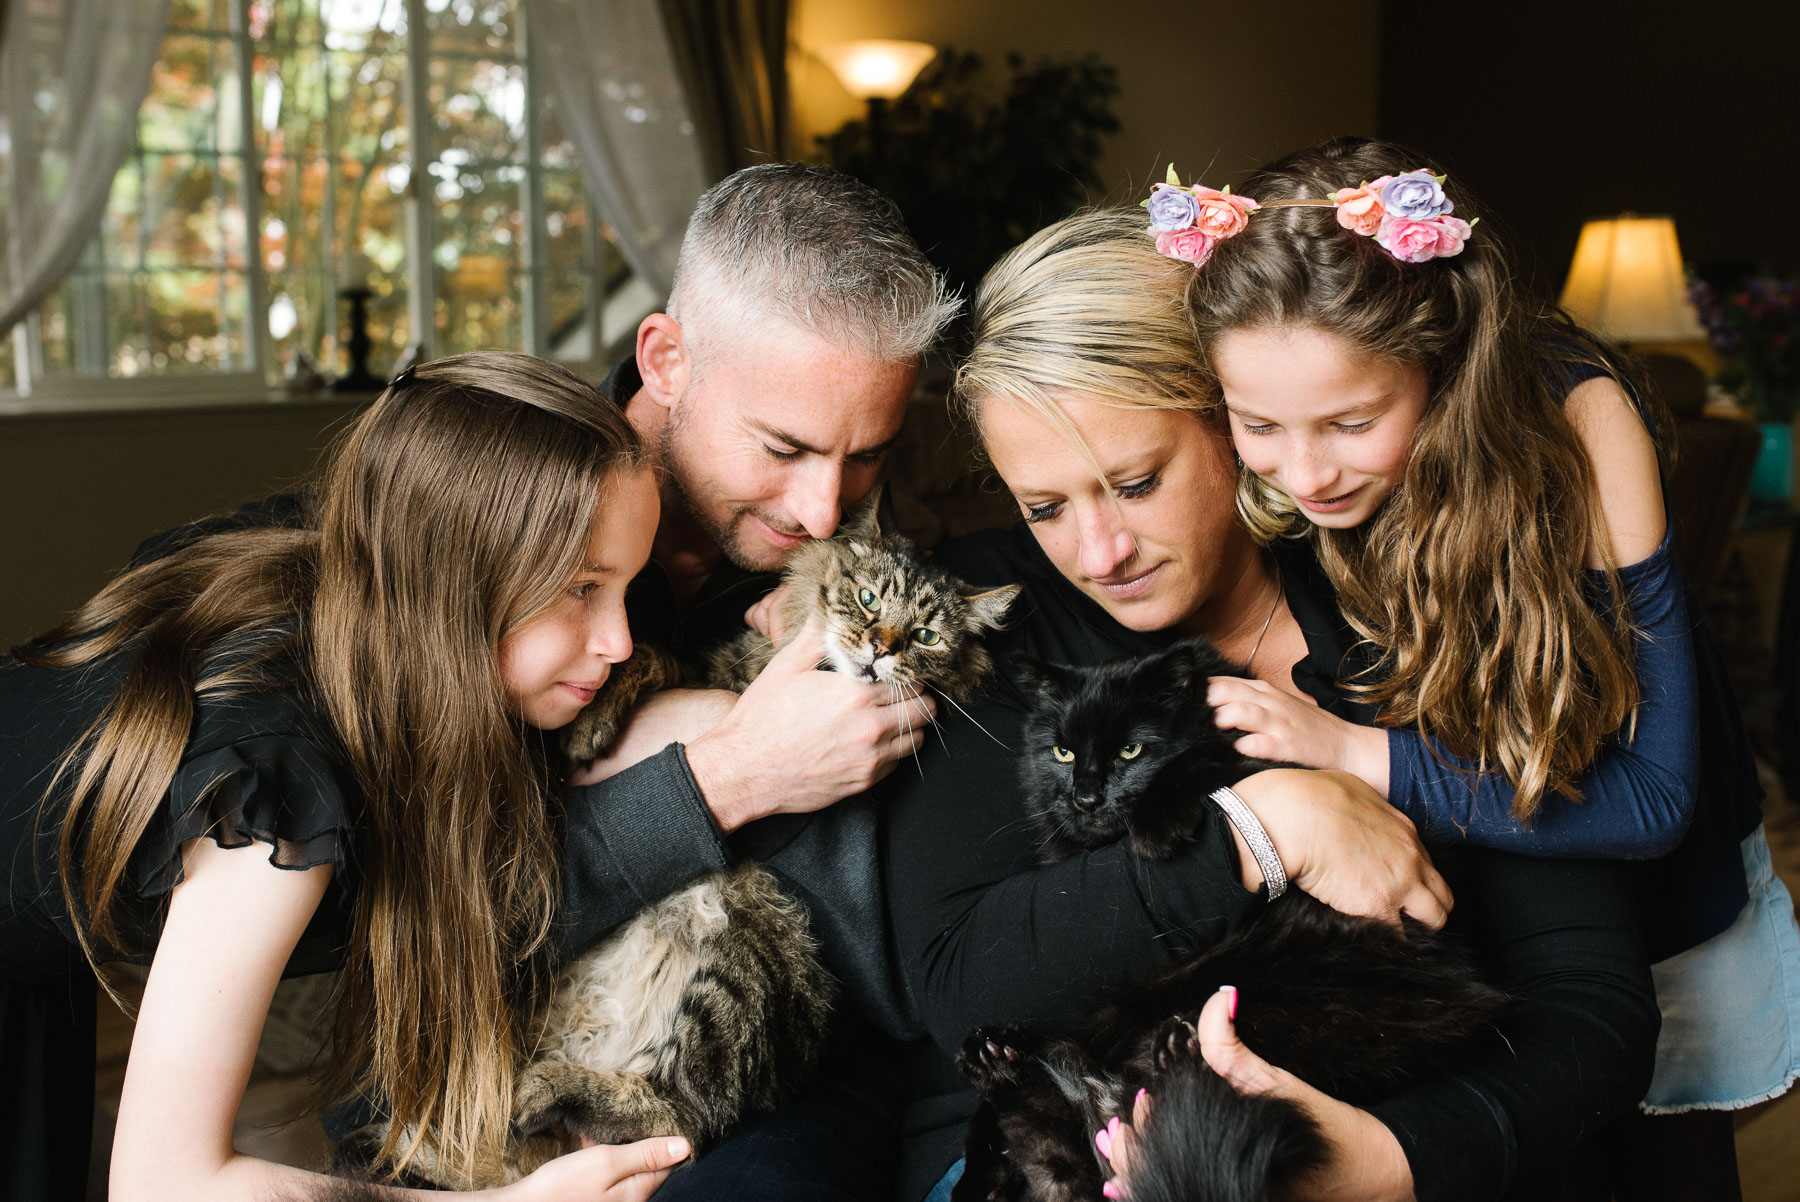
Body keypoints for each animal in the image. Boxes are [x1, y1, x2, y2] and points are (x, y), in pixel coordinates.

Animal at [957, 636, 1504, 1202]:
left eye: (1132, 751)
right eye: (1062, 753)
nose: (1086, 798)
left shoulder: (1267, 761)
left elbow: (1195, 760)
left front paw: (1158, 828)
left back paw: (1173, 1057)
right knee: (1044, 1148)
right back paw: (997, 1065)